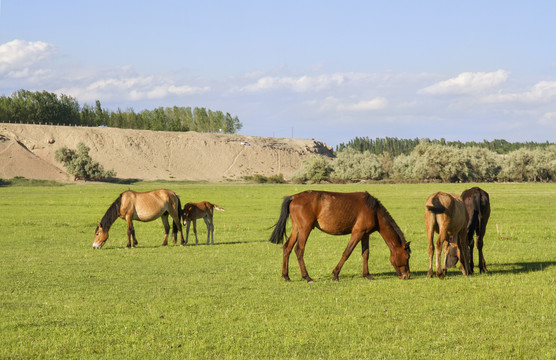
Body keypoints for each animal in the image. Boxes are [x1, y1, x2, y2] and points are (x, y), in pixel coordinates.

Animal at [268, 190, 410, 282]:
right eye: (407, 257)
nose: (406, 276)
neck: (374, 211)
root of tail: (294, 197)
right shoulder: (357, 233)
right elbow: (347, 252)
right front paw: (335, 274)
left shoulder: (365, 234)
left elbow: (365, 254)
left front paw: (367, 275)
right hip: (305, 229)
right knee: (299, 250)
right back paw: (307, 277)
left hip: (296, 229)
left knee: (287, 248)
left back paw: (286, 276)